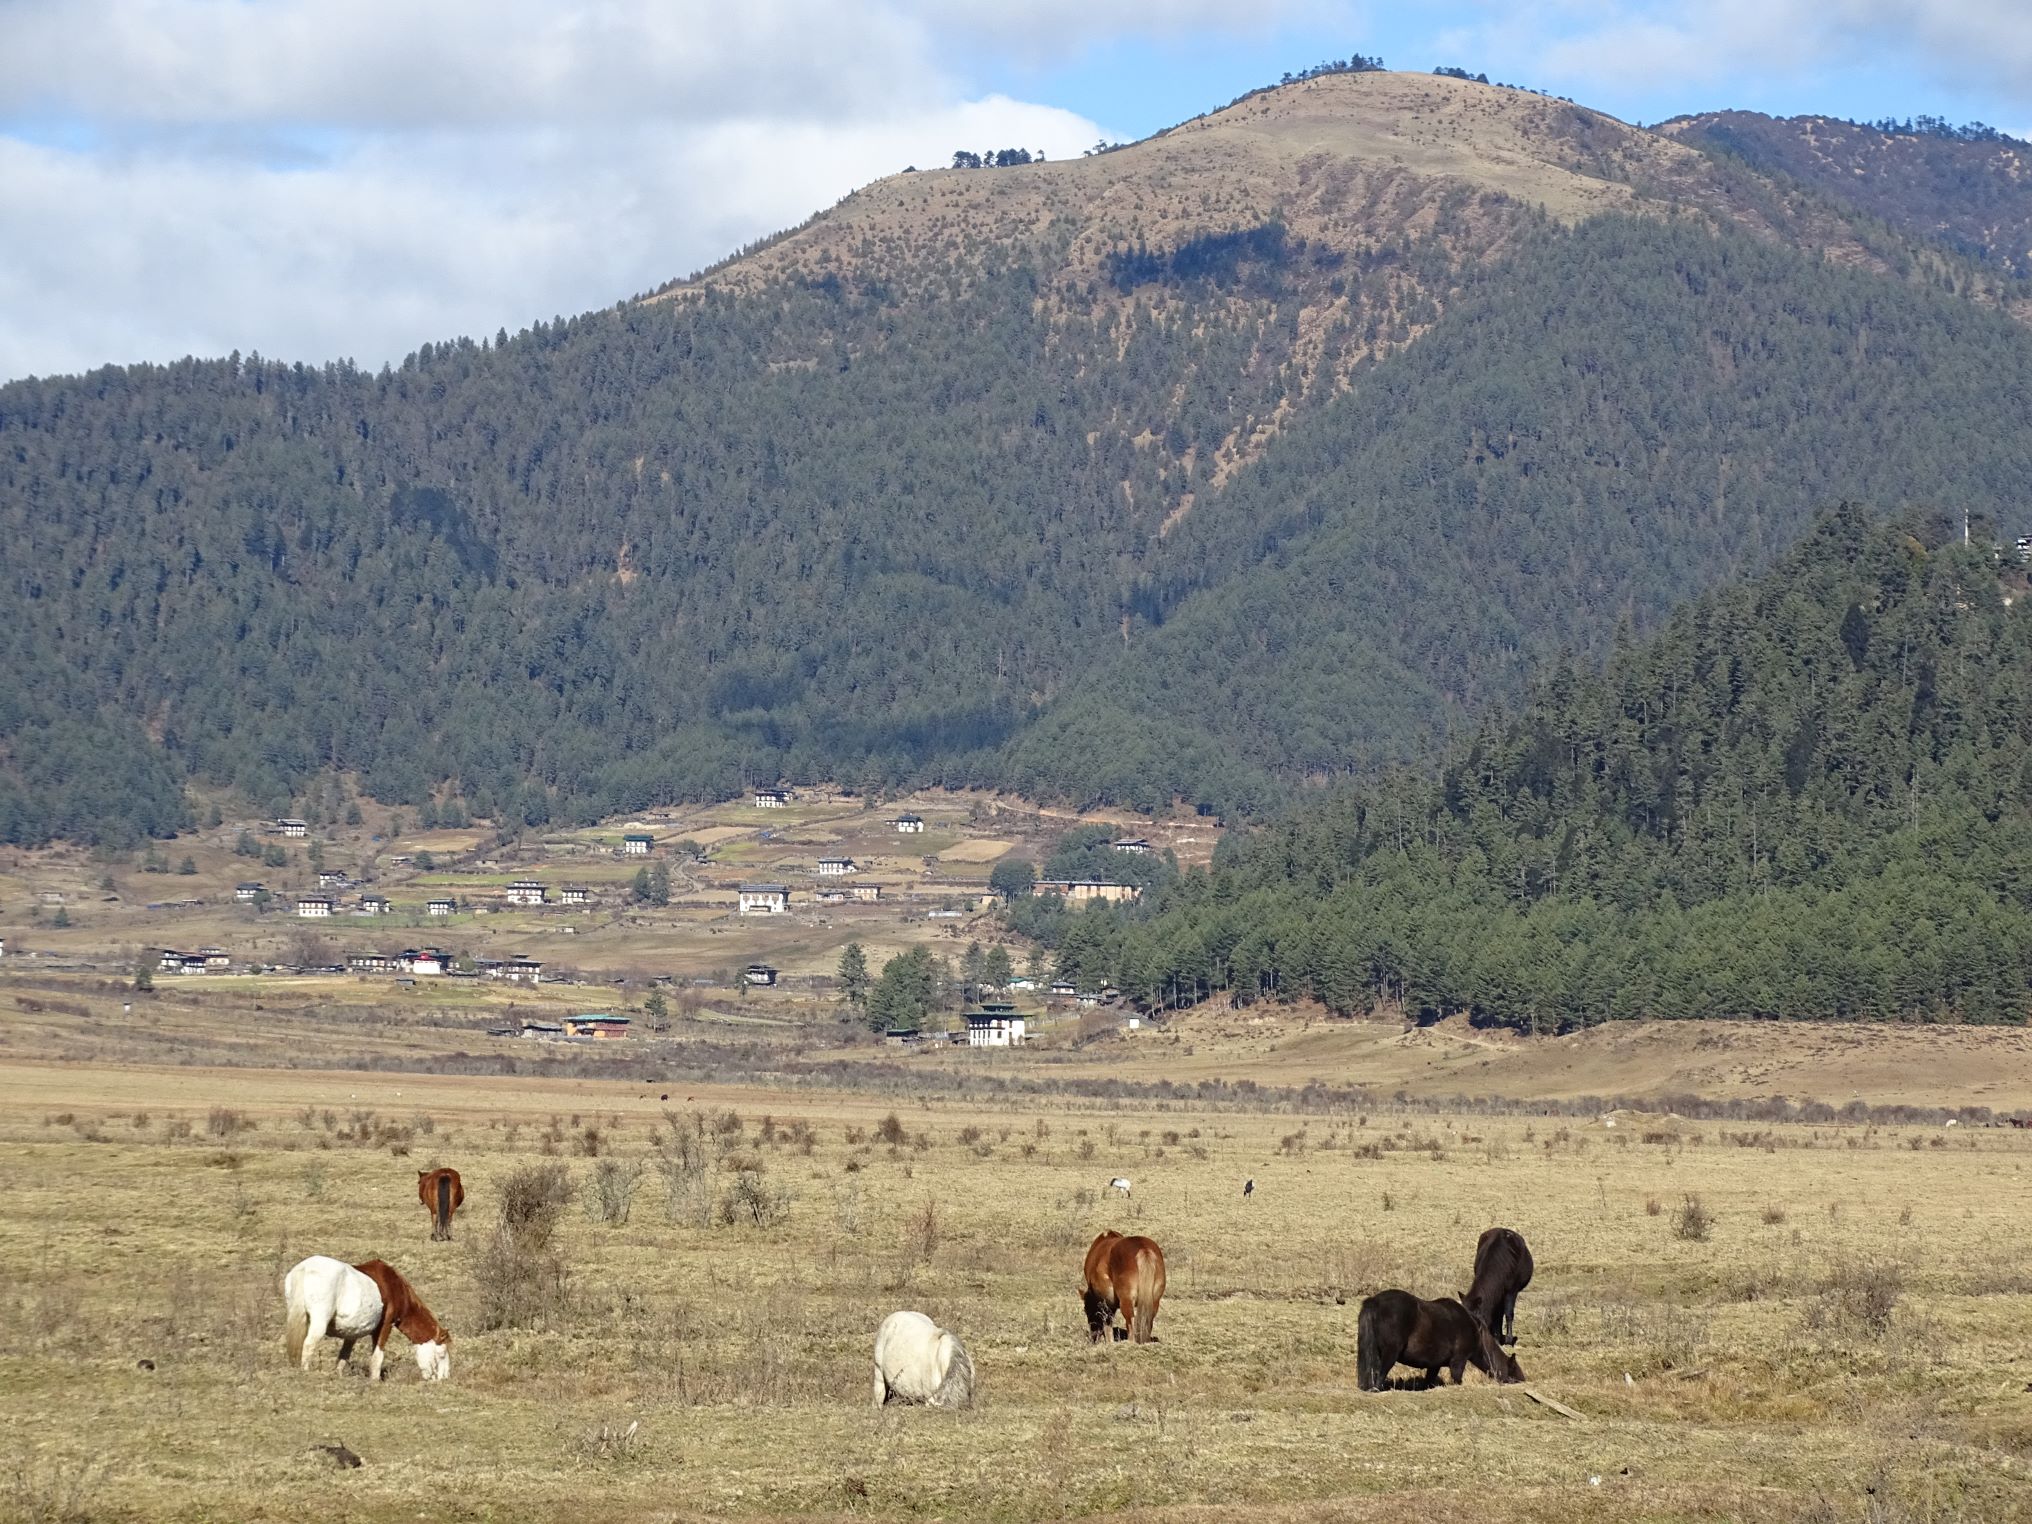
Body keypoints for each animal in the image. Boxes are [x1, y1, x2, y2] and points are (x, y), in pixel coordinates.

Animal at [278, 1251, 449, 1381]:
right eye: (441, 1355)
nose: (444, 1379)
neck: (395, 1287)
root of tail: (305, 1268)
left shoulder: (352, 1333)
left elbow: (344, 1355)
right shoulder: (385, 1326)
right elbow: (377, 1356)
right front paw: (374, 1380)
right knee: (308, 1344)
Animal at [1349, 1292, 1528, 1398]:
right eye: (1514, 1372)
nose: (1523, 1381)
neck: (1476, 1331)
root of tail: (1374, 1301)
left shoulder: (1434, 1365)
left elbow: (1428, 1382)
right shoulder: (1458, 1361)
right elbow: (1457, 1379)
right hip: (1389, 1354)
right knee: (1379, 1376)